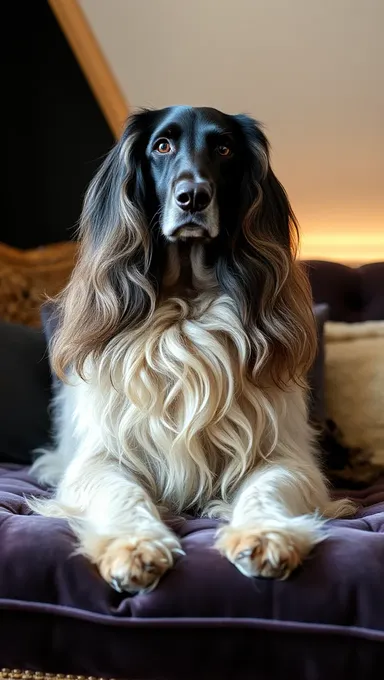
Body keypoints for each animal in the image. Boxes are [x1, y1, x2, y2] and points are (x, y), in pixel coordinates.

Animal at [30, 105, 354, 588]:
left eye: (224, 148)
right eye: (162, 146)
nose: (193, 197)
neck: (187, 310)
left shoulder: (285, 455)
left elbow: (268, 487)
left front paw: (265, 534)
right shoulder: (100, 458)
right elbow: (119, 490)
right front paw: (134, 544)